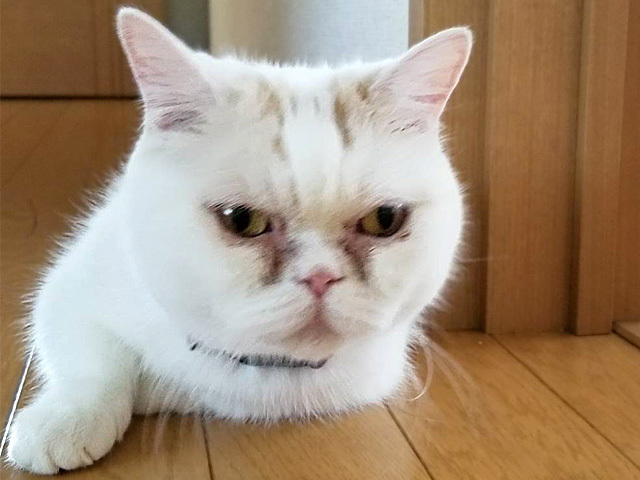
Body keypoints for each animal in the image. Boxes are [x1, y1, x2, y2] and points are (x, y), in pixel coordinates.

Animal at [6, 7, 471, 474]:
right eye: (242, 221)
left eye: (384, 220)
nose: (320, 277)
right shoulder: (68, 288)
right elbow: (92, 364)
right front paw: (66, 419)